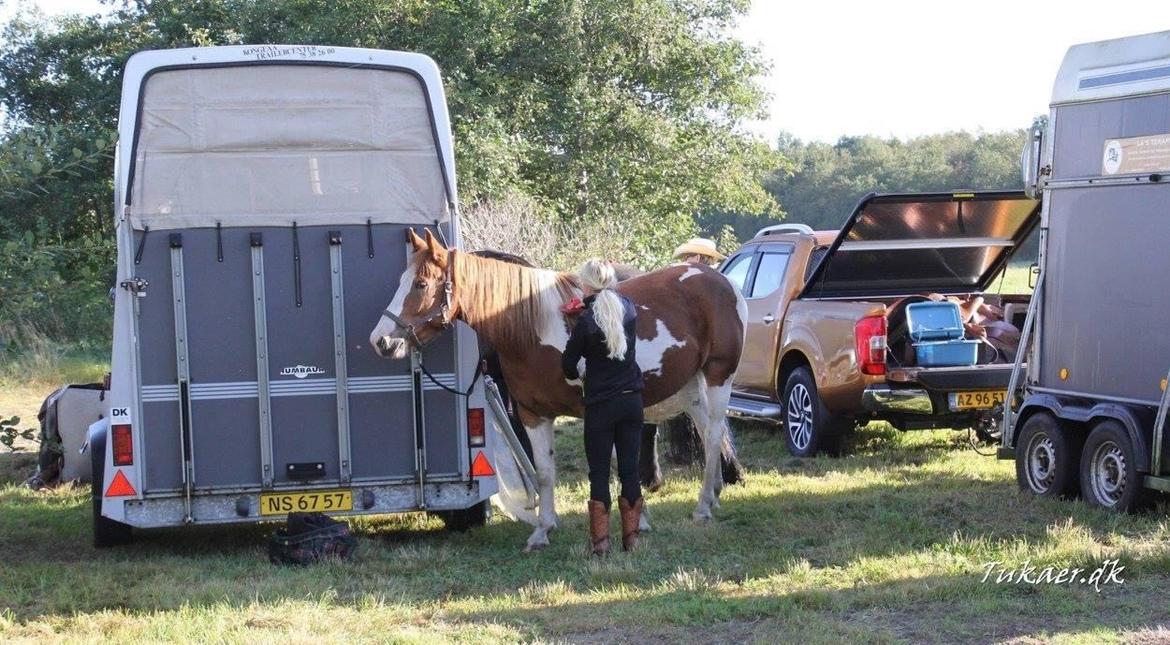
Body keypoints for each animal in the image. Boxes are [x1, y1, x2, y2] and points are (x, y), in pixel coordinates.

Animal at [369, 229, 744, 552]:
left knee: (712, 434)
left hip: (717, 377)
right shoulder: (533, 414)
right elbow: (545, 472)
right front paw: (543, 530)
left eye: (420, 284)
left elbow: (608, 465)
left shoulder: (593, 412)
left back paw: (703, 508)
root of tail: (720, 280)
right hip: (690, 388)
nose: (381, 341)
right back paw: (713, 493)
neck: (533, 329)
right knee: (708, 432)